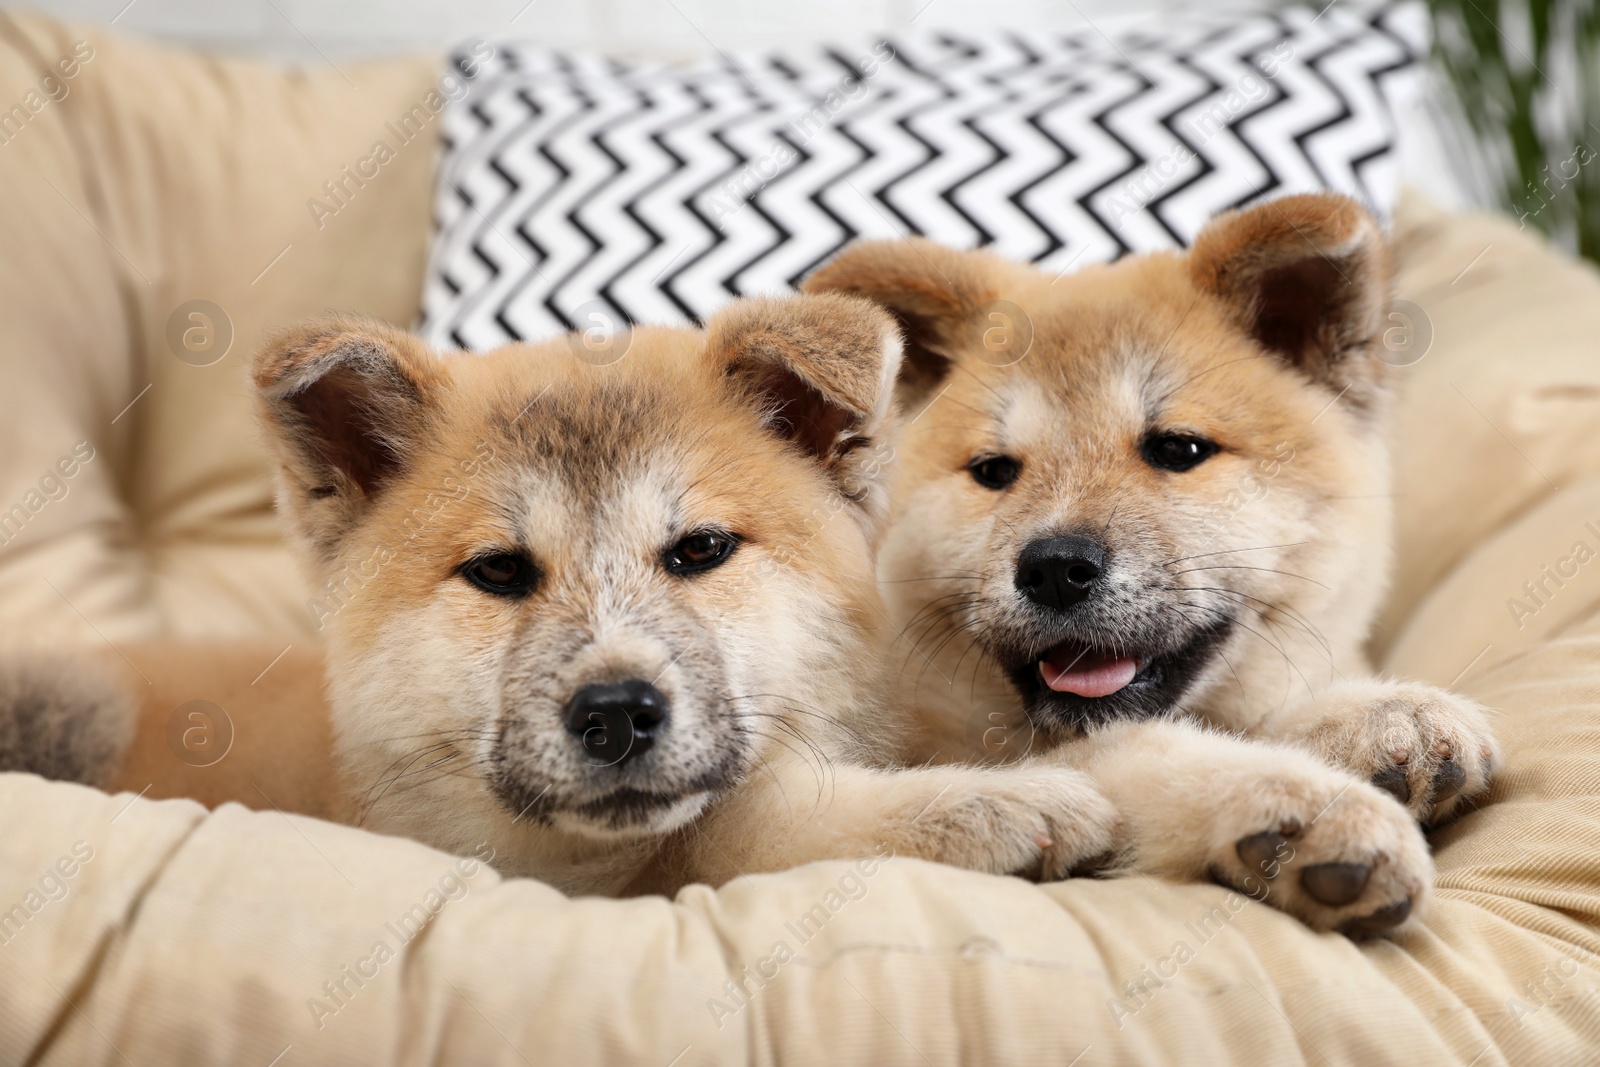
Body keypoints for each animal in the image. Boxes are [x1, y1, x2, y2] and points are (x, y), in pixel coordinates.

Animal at [806, 195, 1491, 940]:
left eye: (1179, 449)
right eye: (994, 472)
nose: (1054, 568)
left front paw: (1378, 715)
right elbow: (1144, 754)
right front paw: (1288, 800)